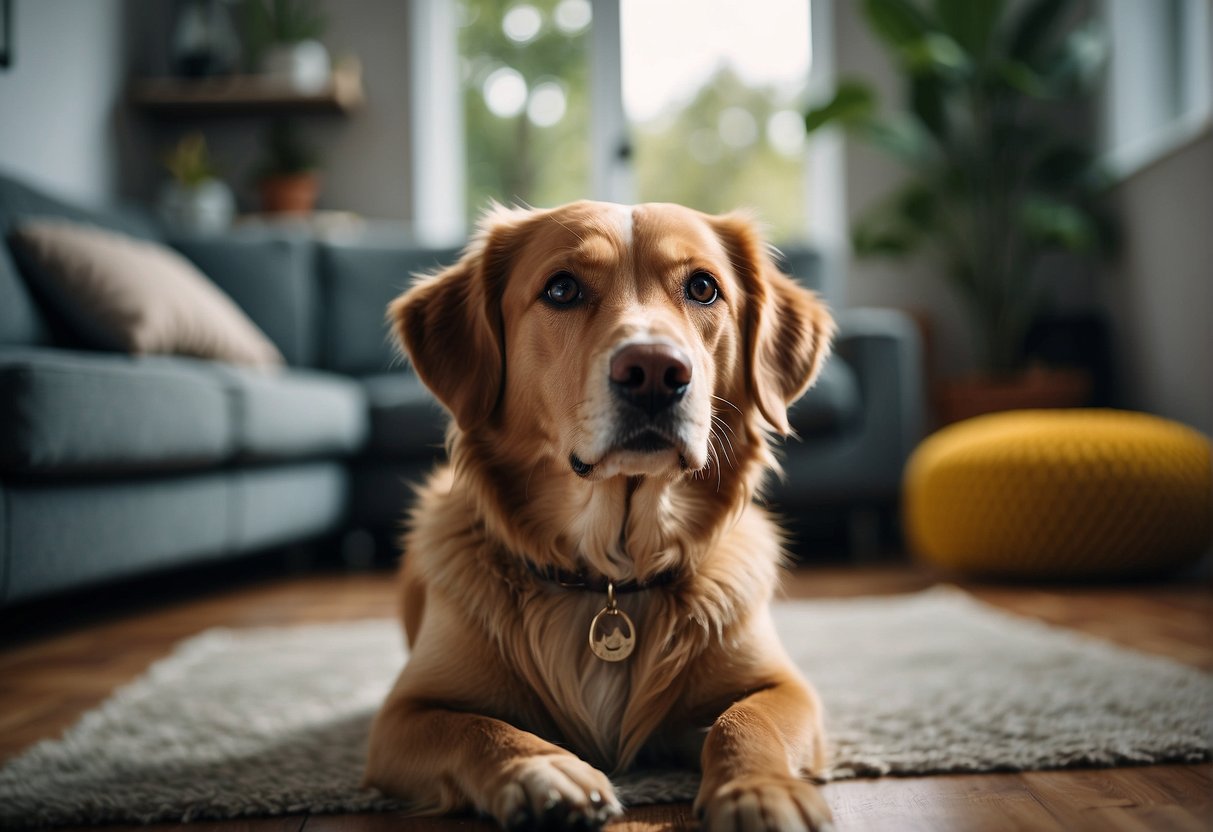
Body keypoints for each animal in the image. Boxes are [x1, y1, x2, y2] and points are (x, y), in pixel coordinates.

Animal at [366, 202, 834, 832]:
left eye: (703, 287)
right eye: (562, 289)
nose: (656, 370)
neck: (612, 574)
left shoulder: (784, 686)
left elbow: (746, 720)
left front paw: (759, 789)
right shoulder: (403, 714)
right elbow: (477, 728)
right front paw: (541, 770)